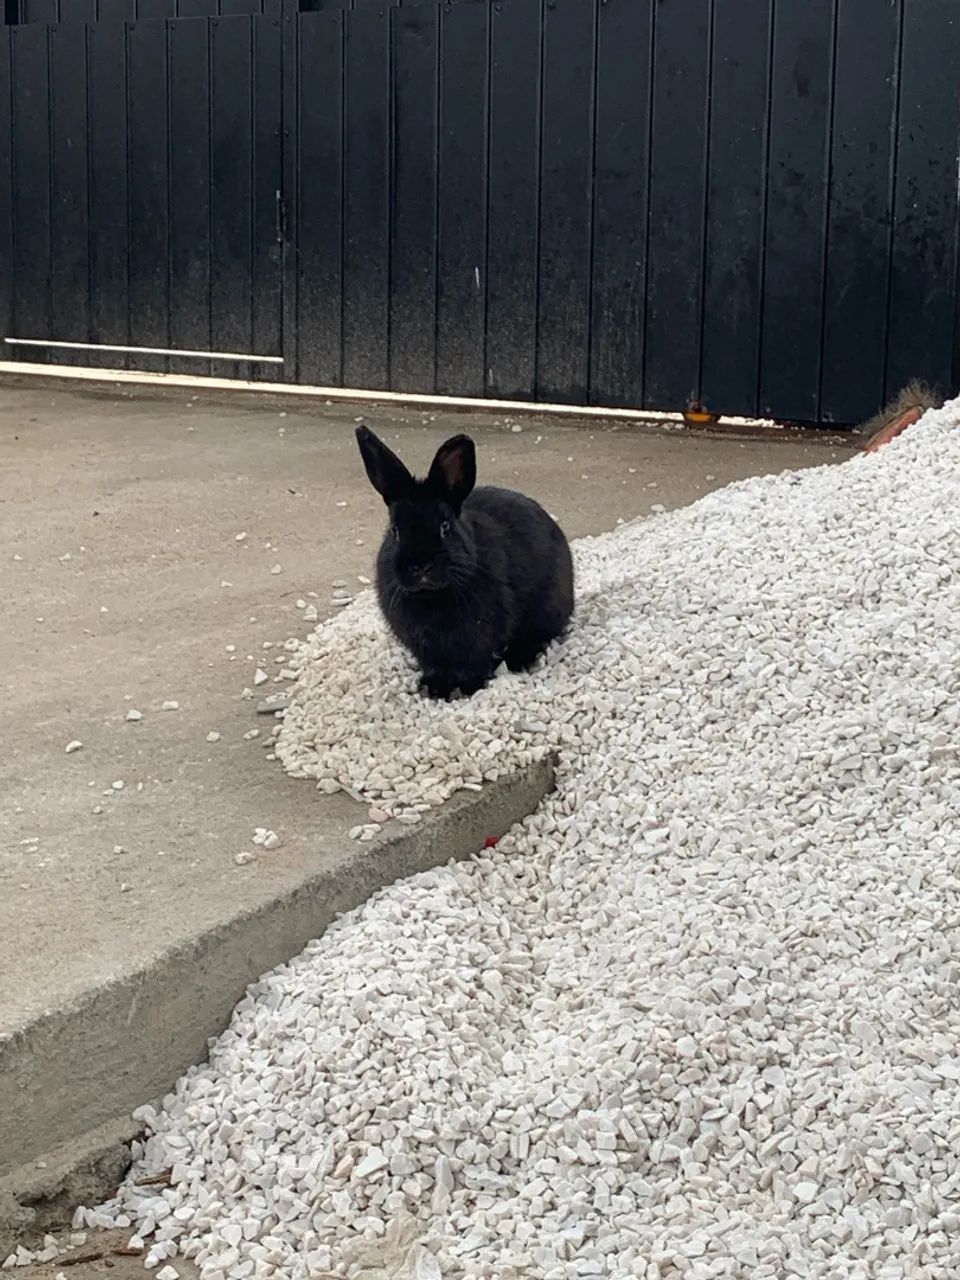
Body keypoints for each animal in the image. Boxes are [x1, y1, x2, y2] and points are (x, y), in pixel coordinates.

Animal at [355, 424, 574, 699]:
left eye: (444, 527)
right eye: (395, 531)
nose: (420, 566)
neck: (431, 597)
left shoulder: (479, 639)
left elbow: (474, 665)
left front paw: (468, 688)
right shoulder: (426, 649)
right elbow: (435, 667)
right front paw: (433, 689)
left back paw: (519, 660)